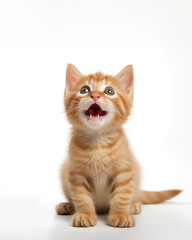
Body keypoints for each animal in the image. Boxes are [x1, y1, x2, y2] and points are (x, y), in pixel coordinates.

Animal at [55, 64, 182, 228]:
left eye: (109, 91)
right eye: (84, 90)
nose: (95, 95)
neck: (97, 141)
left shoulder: (125, 171)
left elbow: (122, 196)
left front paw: (121, 215)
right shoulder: (76, 174)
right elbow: (81, 197)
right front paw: (84, 214)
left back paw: (134, 205)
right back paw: (67, 206)